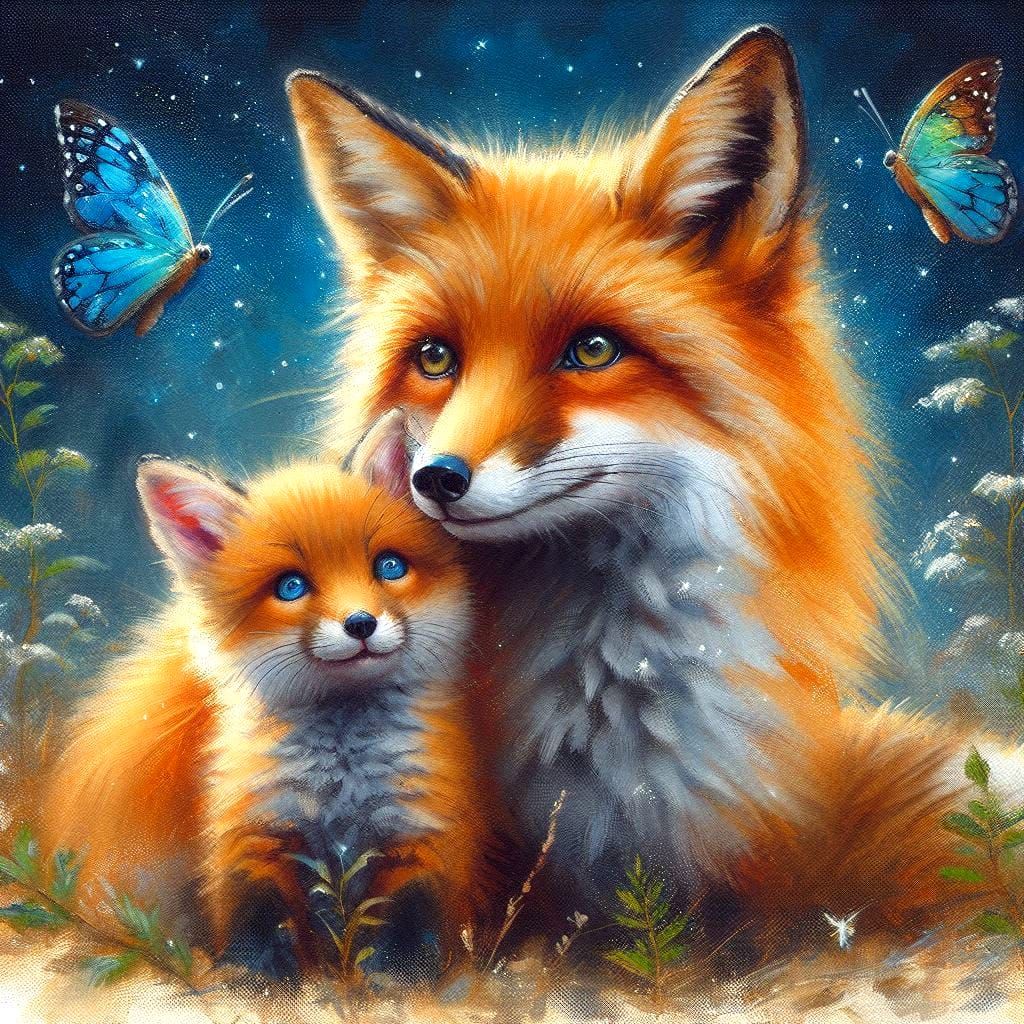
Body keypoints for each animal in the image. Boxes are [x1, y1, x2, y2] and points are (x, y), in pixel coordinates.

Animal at [43, 424, 504, 975]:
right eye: (290, 587)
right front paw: (259, 982)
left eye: (389, 566)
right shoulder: (255, 837)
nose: (361, 623)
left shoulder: (420, 836)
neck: (340, 780)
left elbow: (401, 942)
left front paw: (394, 984)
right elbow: (260, 931)